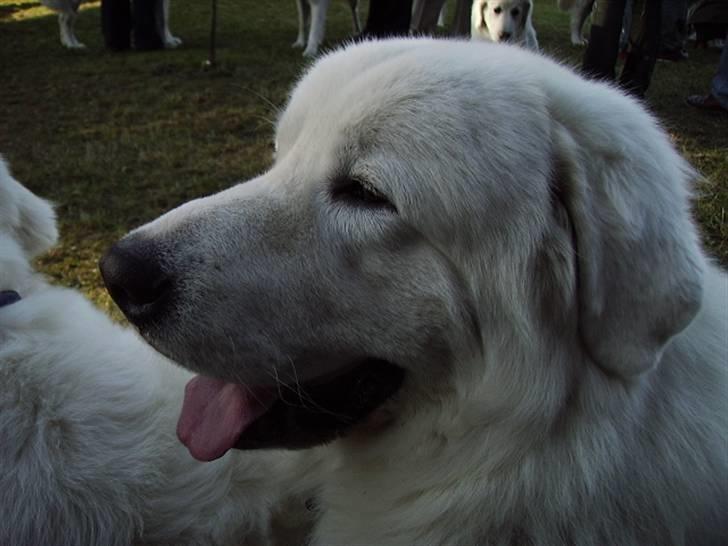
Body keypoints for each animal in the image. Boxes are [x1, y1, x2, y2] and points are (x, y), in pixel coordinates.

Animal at [40, 0, 181, 49]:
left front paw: (168, 40)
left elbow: (163, 18)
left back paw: (73, 44)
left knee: (65, 18)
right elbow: (162, 19)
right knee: (65, 19)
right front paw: (168, 41)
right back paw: (71, 44)